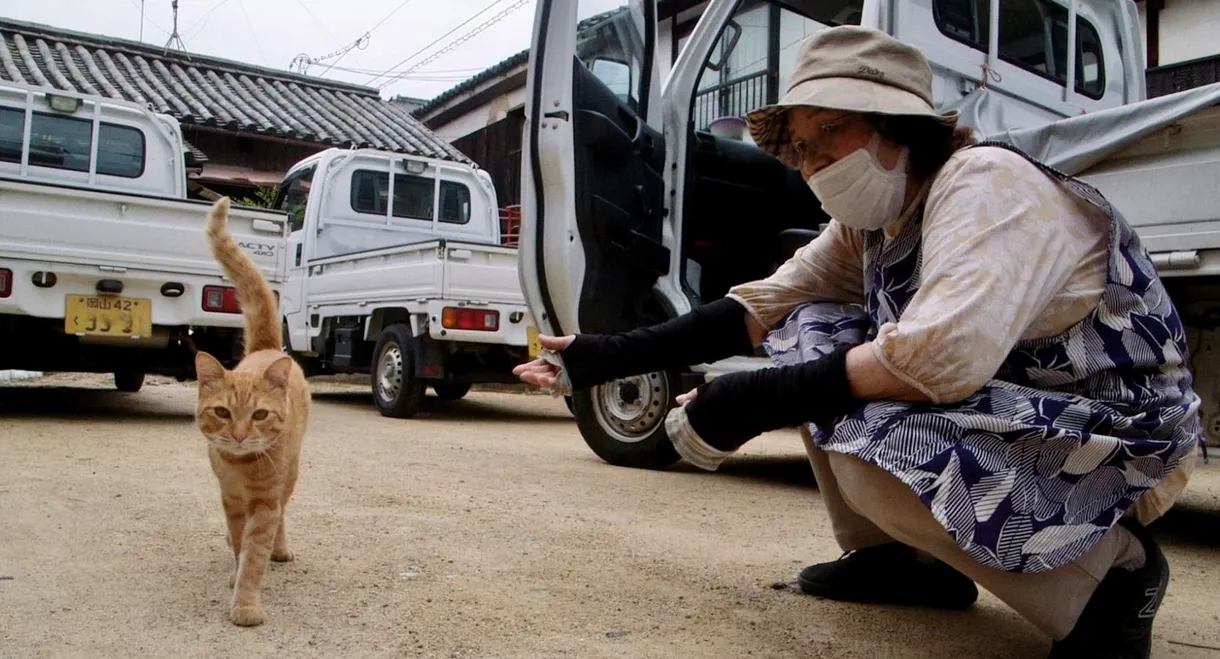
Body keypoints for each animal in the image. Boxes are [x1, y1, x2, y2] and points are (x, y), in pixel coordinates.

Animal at [193, 196, 309, 629]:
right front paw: (235, 568)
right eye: (223, 412)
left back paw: (280, 547)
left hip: (290, 474)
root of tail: (267, 348)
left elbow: (255, 553)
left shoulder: (264, 503)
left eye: (259, 415)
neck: (241, 468)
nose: (241, 435)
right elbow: (239, 543)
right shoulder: (230, 498)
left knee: (283, 514)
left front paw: (245, 601)